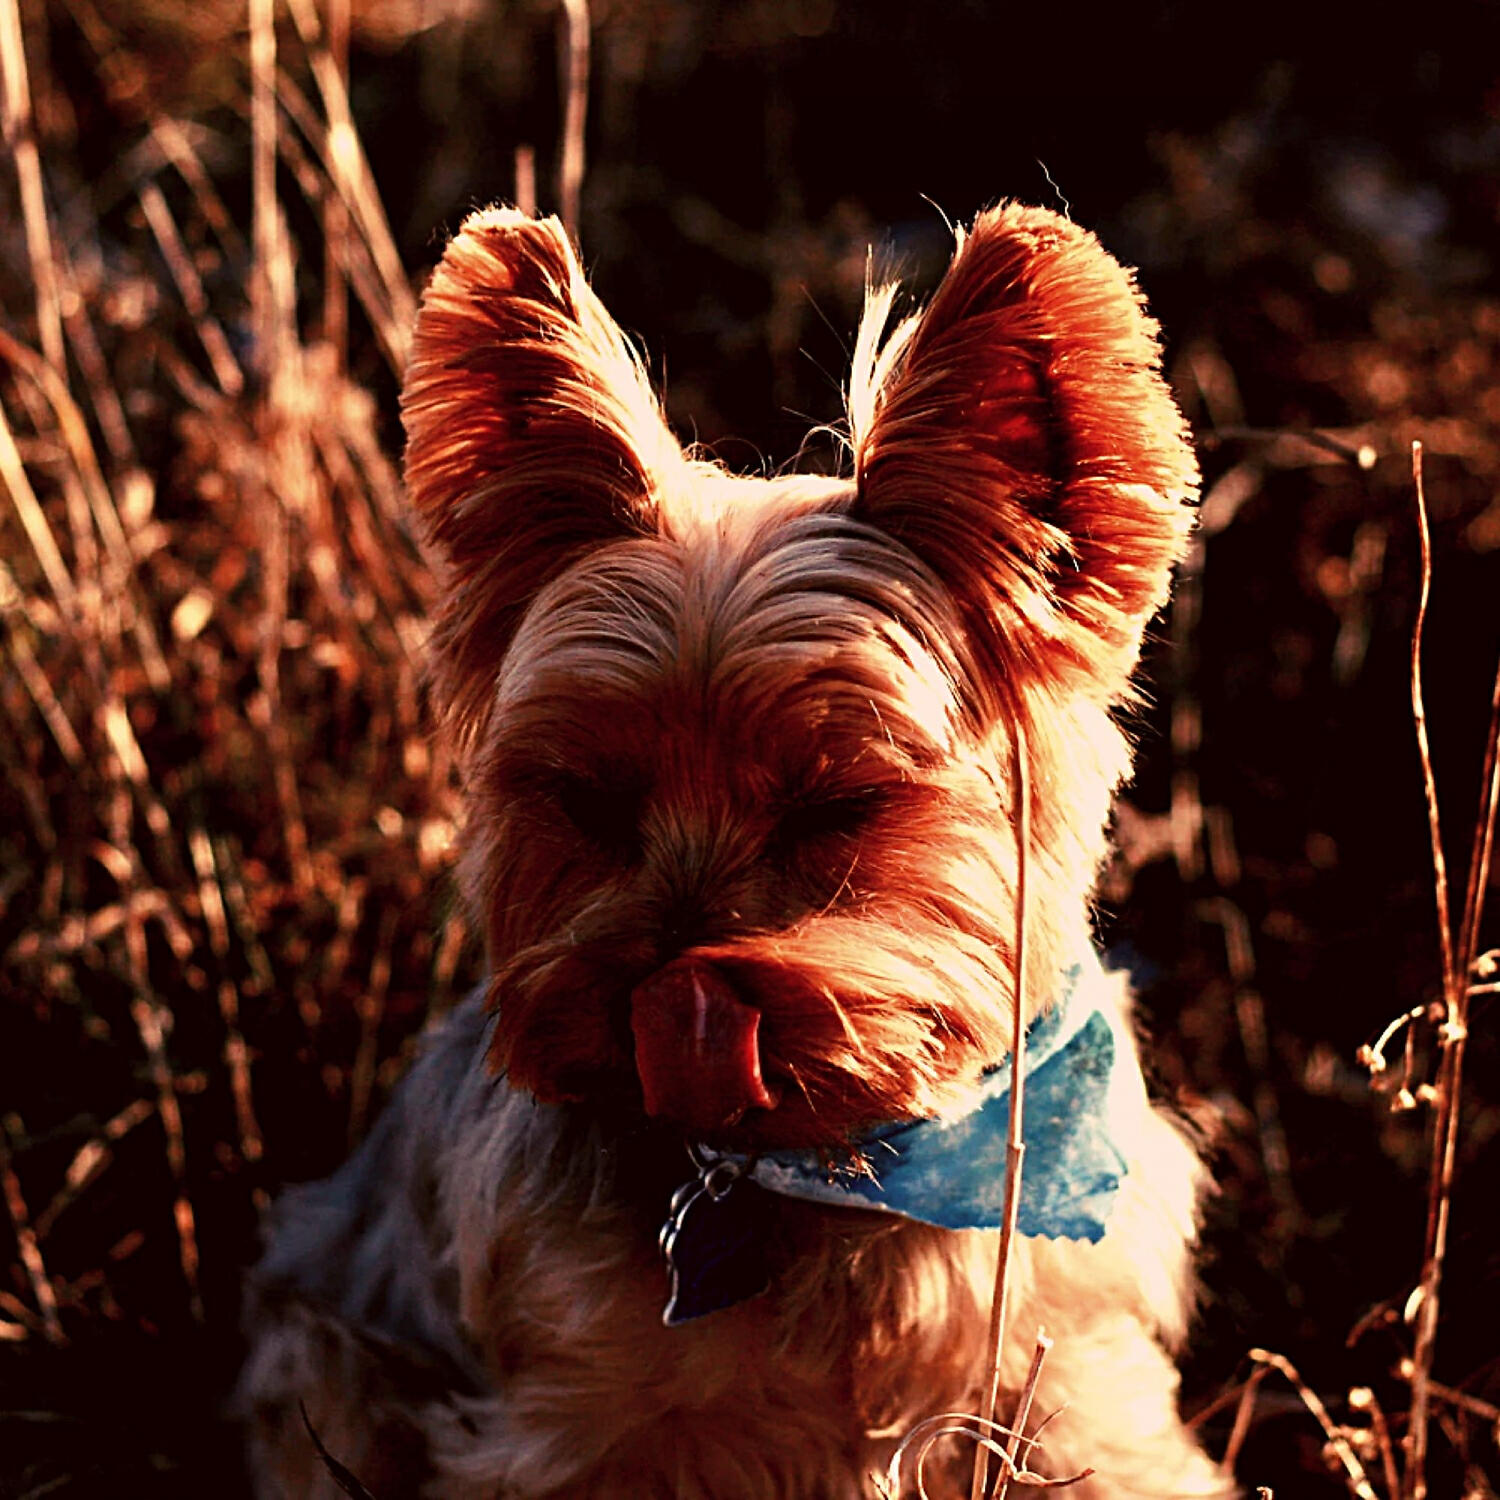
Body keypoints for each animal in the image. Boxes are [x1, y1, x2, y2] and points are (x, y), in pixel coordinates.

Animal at [243, 202, 1230, 1500]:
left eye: (834, 803)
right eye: (589, 800)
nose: (665, 1000)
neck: (825, 1169)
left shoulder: (1070, 1382)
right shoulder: (571, 1427)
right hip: (322, 1362)